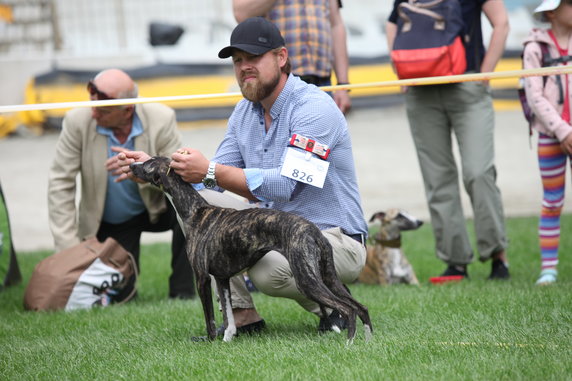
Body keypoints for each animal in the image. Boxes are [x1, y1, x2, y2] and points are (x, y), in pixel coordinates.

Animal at [129, 156, 374, 342]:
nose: (131, 165)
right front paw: (227, 338)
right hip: (328, 275)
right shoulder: (222, 278)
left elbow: (210, 317)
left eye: (148, 163)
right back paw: (367, 341)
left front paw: (210, 340)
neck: (195, 211)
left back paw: (349, 342)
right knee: (360, 307)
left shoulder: (202, 278)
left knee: (348, 309)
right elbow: (228, 315)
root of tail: (313, 230)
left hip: (306, 280)